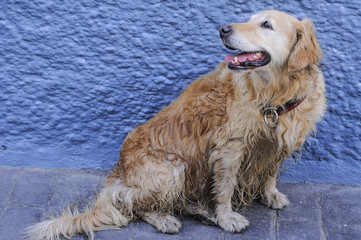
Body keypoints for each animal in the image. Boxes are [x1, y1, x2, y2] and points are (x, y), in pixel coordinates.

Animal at [26, 8, 324, 238]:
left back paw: (203, 211)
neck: (275, 95)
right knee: (135, 206)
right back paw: (166, 218)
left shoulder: (281, 143)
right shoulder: (230, 148)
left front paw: (271, 195)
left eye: (266, 24)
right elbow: (225, 187)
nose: (223, 29)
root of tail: (118, 173)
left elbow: (271, 173)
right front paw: (227, 217)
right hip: (174, 168)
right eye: (250, 19)